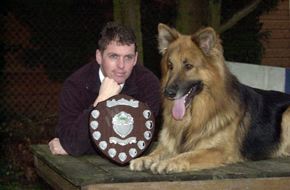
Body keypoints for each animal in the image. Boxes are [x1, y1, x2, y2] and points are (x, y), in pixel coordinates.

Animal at [130, 23, 290, 174]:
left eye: (188, 66)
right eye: (170, 65)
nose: (167, 93)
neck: (194, 116)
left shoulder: (218, 150)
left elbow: (188, 155)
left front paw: (170, 162)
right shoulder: (170, 142)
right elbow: (158, 151)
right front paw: (145, 158)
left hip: (287, 114)